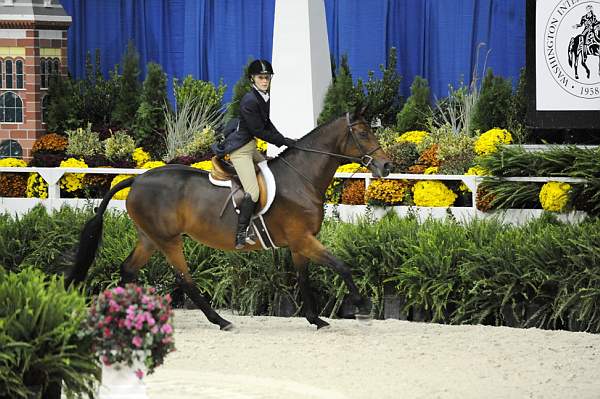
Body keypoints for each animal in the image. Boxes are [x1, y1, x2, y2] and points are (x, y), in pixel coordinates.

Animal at [68, 107, 394, 332]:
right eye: (363, 134)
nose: (386, 166)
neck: (301, 179)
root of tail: (136, 180)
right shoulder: (303, 239)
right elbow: (341, 266)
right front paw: (363, 307)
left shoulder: (299, 243)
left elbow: (304, 277)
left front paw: (316, 319)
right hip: (168, 240)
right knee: (184, 279)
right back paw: (221, 320)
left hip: (149, 238)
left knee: (128, 270)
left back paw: (131, 315)